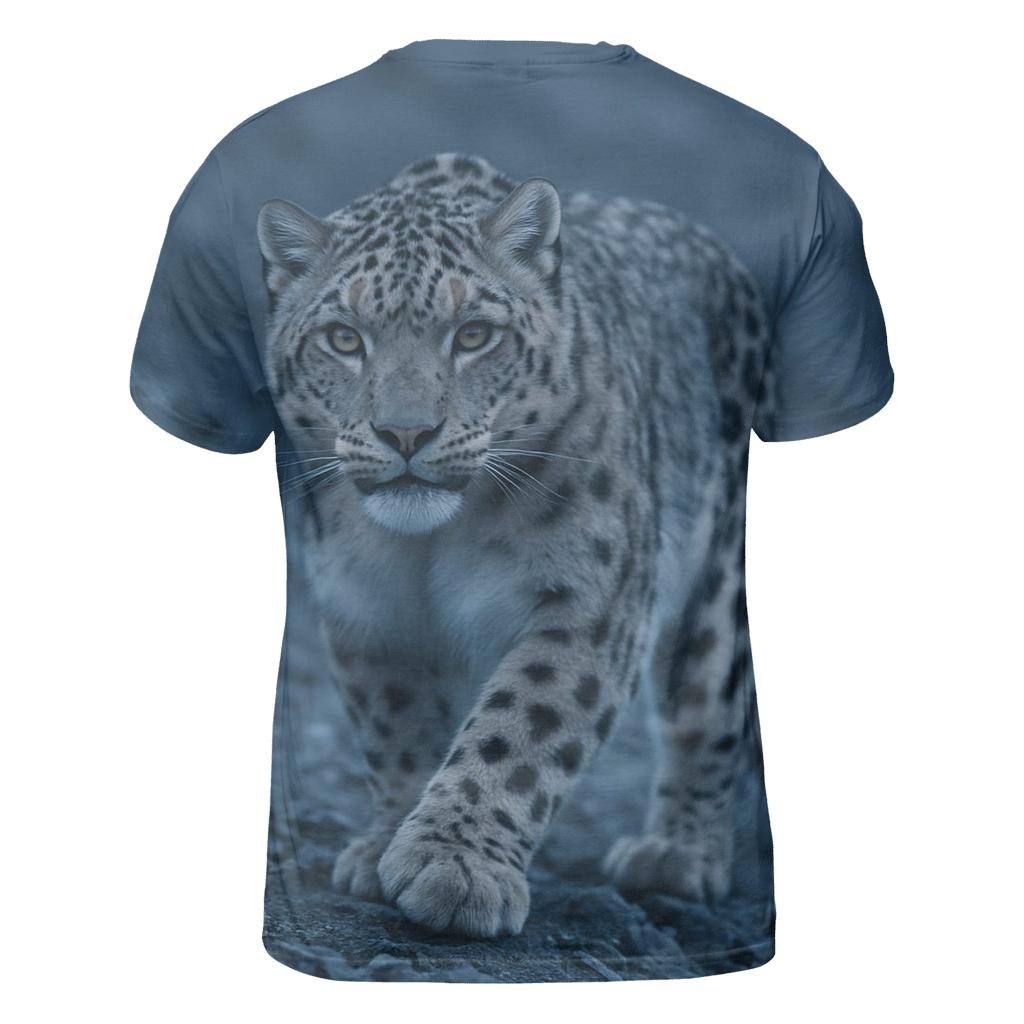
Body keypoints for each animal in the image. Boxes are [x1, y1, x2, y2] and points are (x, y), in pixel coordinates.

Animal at [257, 152, 774, 938]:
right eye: (344, 338)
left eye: (474, 334)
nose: (405, 433)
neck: (429, 547)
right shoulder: (366, 610)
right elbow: (397, 725)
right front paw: (388, 844)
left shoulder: (590, 600)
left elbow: (523, 725)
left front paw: (454, 867)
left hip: (716, 580)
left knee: (709, 706)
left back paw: (676, 856)